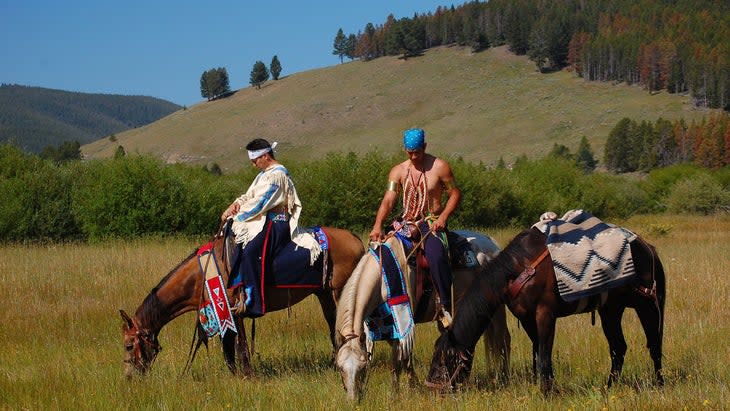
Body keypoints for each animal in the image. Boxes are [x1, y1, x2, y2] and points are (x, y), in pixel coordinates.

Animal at [121, 227, 366, 378]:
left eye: (128, 345)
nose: (129, 377)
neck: (202, 274)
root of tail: (355, 239)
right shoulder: (222, 315)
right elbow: (229, 350)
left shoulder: (232, 313)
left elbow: (240, 348)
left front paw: (247, 376)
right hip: (325, 295)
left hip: (340, 293)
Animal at [334, 232, 510, 402]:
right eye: (340, 367)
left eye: (362, 368)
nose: (352, 400)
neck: (381, 280)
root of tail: (491, 242)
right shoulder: (381, 326)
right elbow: (401, 358)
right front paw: (413, 385)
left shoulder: (403, 323)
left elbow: (399, 360)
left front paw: (396, 394)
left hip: (498, 308)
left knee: (503, 339)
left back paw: (504, 378)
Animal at [420, 229, 664, 396]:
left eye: (446, 358)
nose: (432, 388)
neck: (519, 269)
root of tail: (648, 248)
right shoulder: (527, 318)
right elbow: (537, 353)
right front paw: (545, 386)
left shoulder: (545, 315)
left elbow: (545, 354)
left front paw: (547, 392)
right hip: (611, 311)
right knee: (618, 348)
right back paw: (608, 387)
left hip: (648, 306)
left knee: (654, 344)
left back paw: (659, 384)